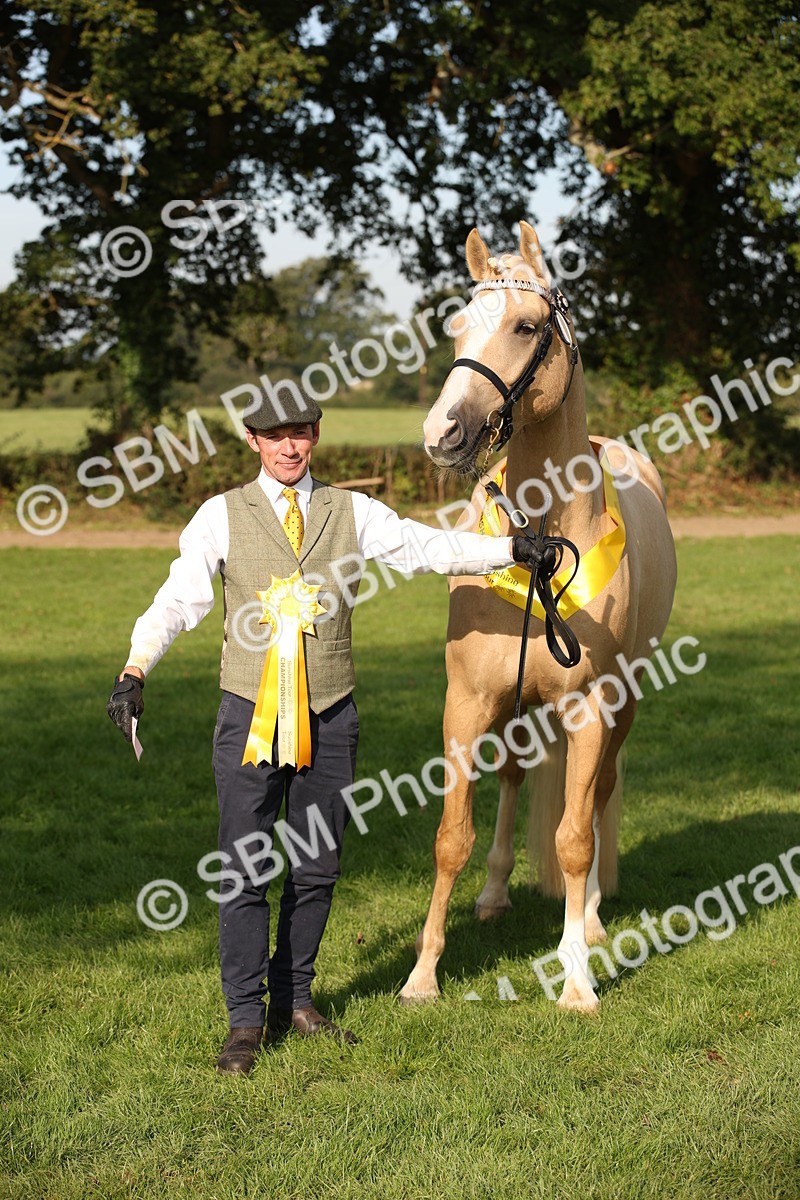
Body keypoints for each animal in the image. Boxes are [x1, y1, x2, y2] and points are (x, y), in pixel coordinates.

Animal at [399, 221, 677, 1012]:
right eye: (458, 326)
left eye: (526, 327)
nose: (443, 433)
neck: (542, 541)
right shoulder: (466, 704)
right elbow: (451, 837)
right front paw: (423, 975)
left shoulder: (589, 710)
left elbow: (574, 838)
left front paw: (577, 977)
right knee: (516, 780)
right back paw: (495, 896)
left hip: (622, 708)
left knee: (597, 798)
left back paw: (593, 922)